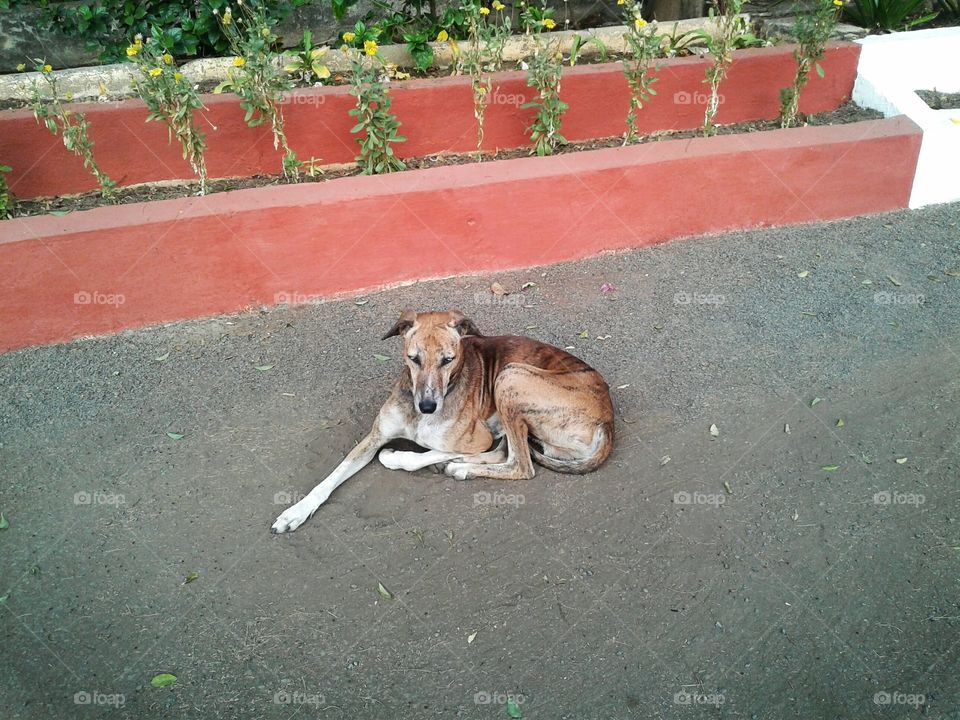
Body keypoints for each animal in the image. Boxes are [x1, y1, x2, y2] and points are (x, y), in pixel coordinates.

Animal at [272, 310, 616, 536]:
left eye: (448, 360)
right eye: (413, 358)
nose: (428, 406)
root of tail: (609, 420)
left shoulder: (476, 437)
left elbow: (424, 451)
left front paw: (403, 457)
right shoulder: (374, 436)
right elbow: (331, 477)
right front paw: (295, 511)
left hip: (510, 377)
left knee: (520, 464)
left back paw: (461, 468)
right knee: (509, 453)